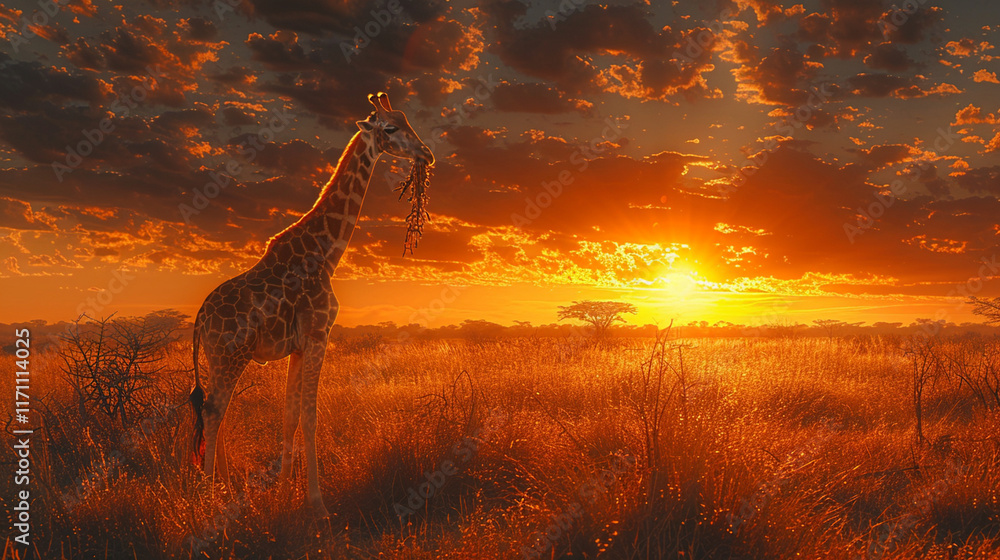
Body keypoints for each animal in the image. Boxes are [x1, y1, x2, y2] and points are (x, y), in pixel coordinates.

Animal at [189, 92, 434, 517]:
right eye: (390, 128)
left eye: (408, 121)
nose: (427, 155)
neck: (326, 251)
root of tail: (200, 318)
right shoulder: (320, 334)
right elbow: (310, 417)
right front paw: (317, 504)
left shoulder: (298, 346)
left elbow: (289, 416)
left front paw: (285, 491)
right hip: (230, 354)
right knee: (214, 410)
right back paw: (210, 494)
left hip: (218, 357)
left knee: (217, 411)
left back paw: (226, 487)